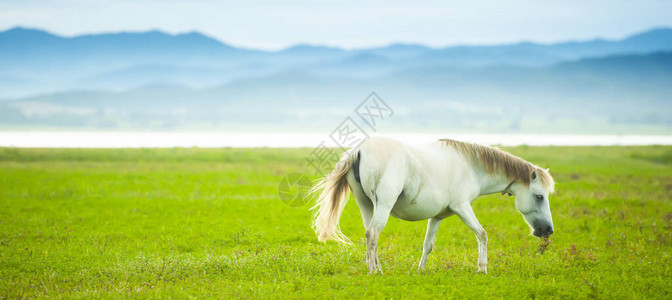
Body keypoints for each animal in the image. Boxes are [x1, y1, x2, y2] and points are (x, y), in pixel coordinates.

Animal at [312, 137, 552, 274]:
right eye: (539, 196)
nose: (548, 230)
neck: (471, 166)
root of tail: (359, 150)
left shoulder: (437, 217)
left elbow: (428, 245)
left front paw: (421, 270)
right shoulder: (462, 207)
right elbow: (482, 234)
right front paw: (482, 268)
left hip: (366, 205)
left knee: (371, 234)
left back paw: (376, 267)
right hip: (383, 206)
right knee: (373, 233)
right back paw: (374, 271)